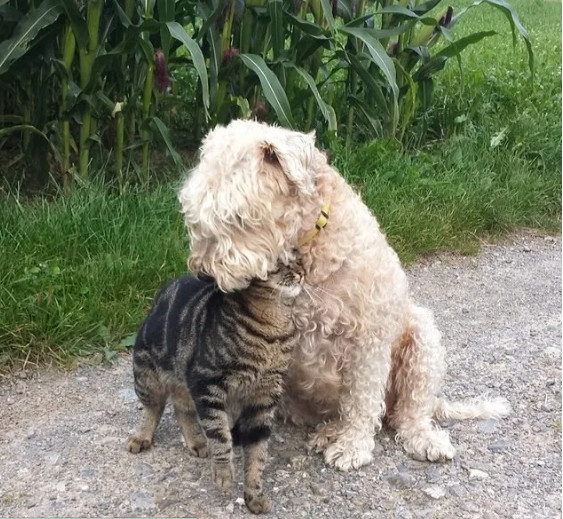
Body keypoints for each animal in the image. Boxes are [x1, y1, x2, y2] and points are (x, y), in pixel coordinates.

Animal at [126, 261, 303, 514]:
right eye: (278, 263)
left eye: (297, 259)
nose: (300, 272)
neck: (274, 326)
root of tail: (163, 290)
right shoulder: (207, 382)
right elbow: (219, 433)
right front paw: (223, 471)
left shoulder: (265, 396)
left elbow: (257, 453)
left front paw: (254, 494)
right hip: (147, 376)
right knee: (154, 408)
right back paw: (142, 436)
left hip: (186, 388)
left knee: (181, 410)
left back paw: (197, 442)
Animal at [178, 120, 510, 471]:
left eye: (238, 218)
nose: (204, 273)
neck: (311, 250)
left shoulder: (368, 340)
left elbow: (361, 400)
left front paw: (352, 446)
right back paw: (328, 432)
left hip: (422, 340)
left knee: (409, 411)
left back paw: (421, 438)